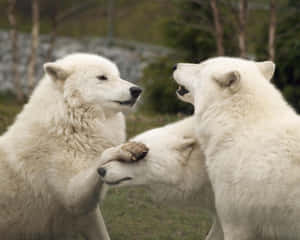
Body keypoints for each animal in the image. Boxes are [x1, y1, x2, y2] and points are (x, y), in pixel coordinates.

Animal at [0, 53, 142, 239]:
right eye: (102, 77)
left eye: (118, 75)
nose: (137, 90)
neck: (70, 127)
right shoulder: (71, 197)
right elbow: (102, 157)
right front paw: (123, 150)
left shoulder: (87, 213)